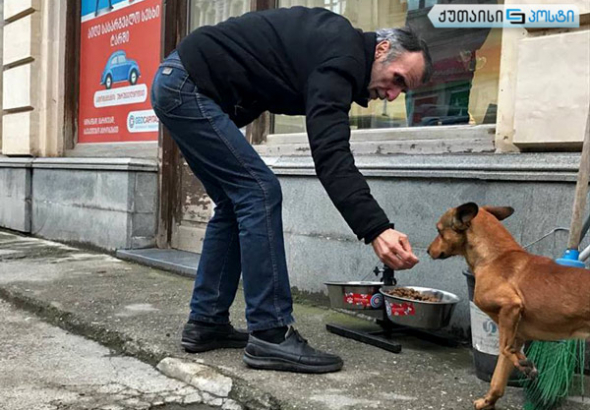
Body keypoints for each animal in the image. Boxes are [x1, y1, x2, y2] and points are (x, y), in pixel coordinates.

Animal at [430, 203, 590, 408]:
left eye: (439, 231)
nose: (427, 250)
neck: (494, 256)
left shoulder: (510, 307)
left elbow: (505, 349)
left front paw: (525, 364)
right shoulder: (517, 334)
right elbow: (498, 378)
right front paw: (487, 402)